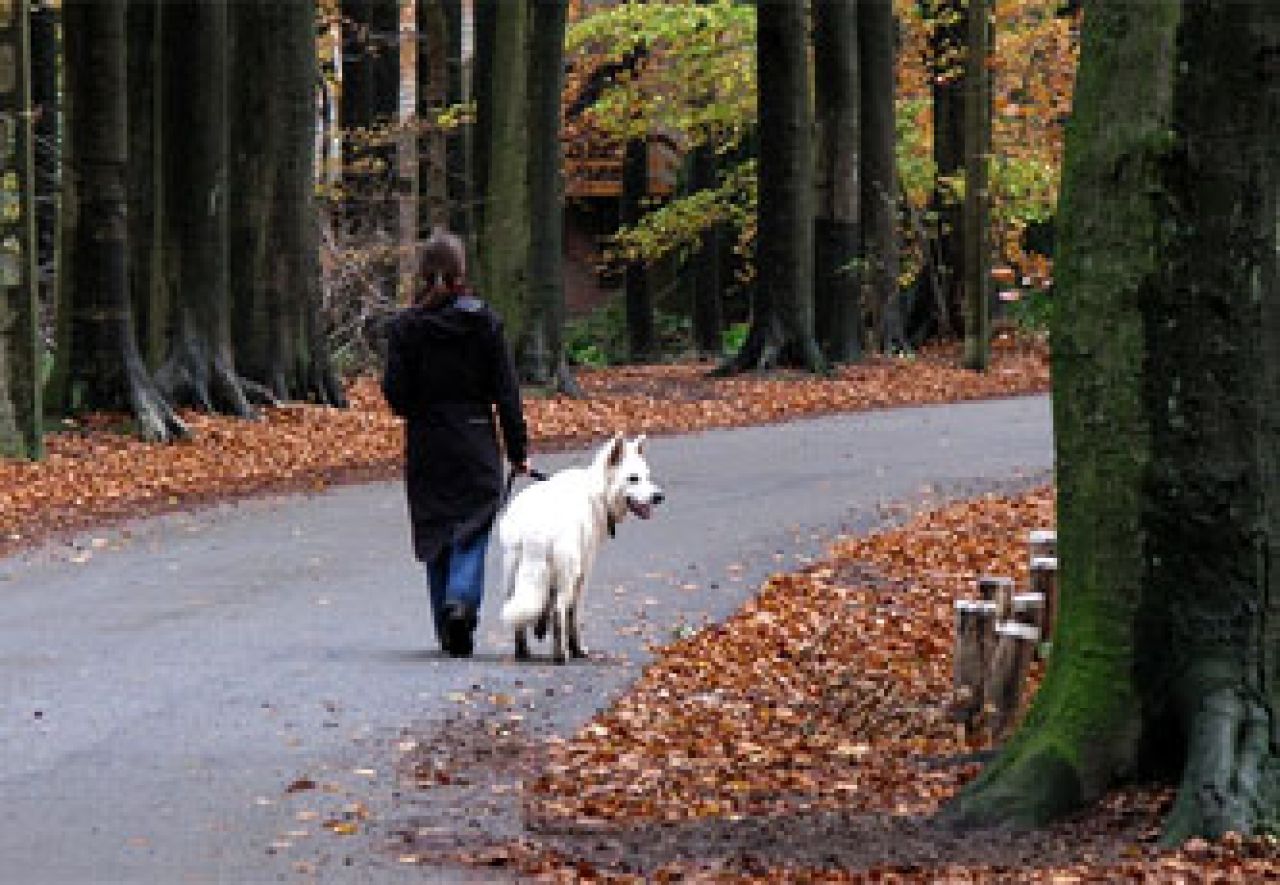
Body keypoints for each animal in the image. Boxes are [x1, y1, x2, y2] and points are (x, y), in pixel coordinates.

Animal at [496, 432, 665, 665]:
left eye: (647, 476)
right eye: (633, 478)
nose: (659, 497)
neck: (597, 492)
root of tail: (535, 530)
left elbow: (545, 605)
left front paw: (540, 628)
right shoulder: (583, 573)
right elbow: (572, 614)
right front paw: (577, 649)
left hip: (512, 575)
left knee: (517, 614)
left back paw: (522, 651)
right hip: (568, 574)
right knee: (559, 612)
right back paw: (561, 655)